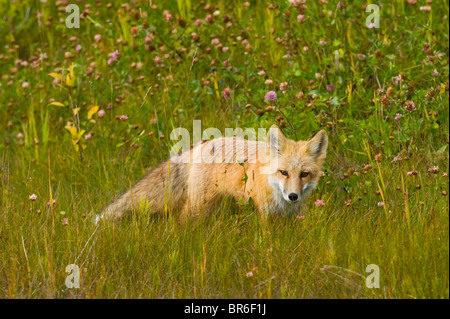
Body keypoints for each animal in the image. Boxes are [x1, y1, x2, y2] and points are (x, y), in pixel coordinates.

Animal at [97, 125, 326, 222]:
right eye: (283, 172)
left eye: (304, 174)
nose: (293, 196)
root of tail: (201, 145)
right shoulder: (264, 214)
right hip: (199, 206)